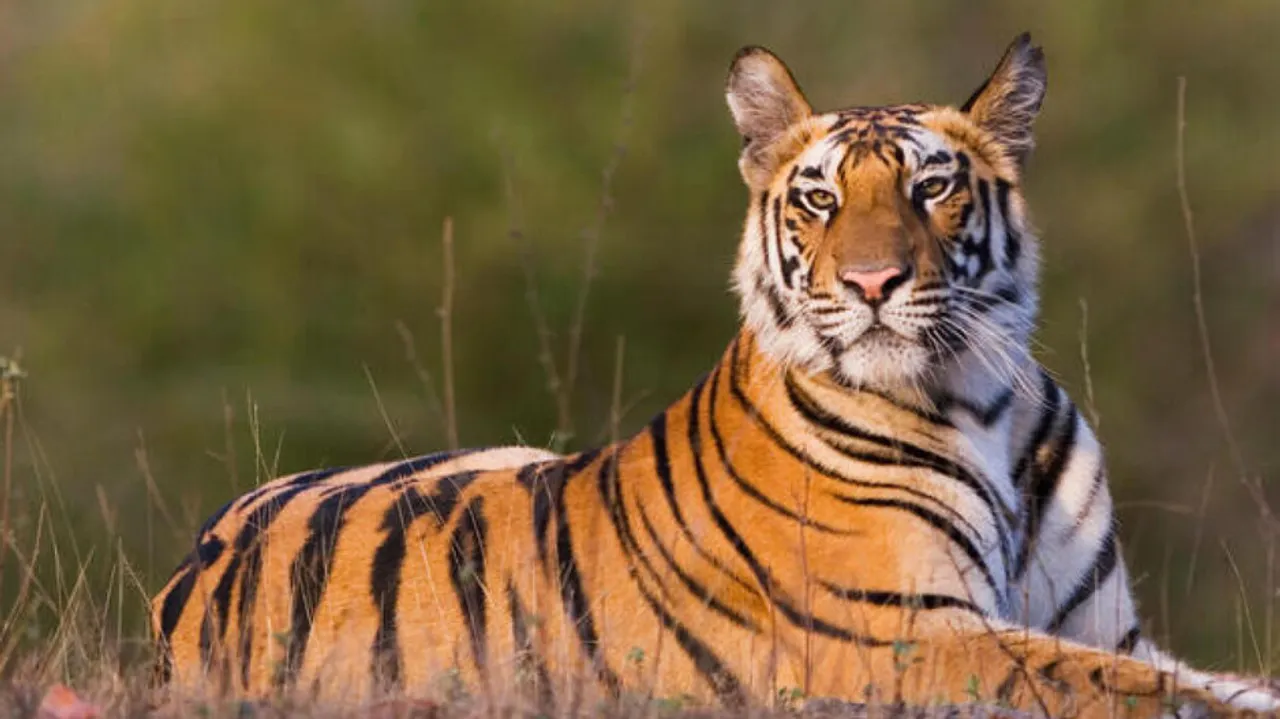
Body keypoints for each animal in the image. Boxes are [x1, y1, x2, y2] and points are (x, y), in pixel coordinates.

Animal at [152, 34, 1280, 717]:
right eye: (821, 198)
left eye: (931, 188)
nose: (872, 282)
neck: (982, 399)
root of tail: (185, 577)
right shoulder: (900, 633)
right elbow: (1133, 688)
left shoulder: (1102, 621)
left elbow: (1190, 674)